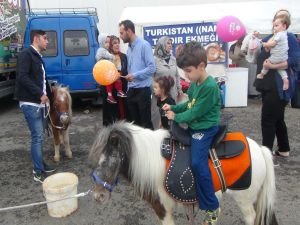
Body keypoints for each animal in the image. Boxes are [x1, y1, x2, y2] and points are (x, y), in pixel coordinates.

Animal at [88, 121, 278, 225]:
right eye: (97, 159)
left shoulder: (162, 207)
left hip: (244, 199)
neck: (147, 159)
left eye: (110, 158)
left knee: (251, 218)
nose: (98, 196)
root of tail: (260, 149)